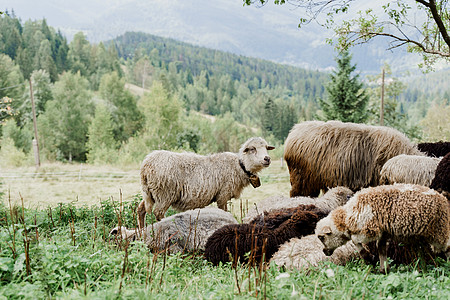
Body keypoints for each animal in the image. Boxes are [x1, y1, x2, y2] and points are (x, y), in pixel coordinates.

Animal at [137, 137, 274, 227]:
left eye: (266, 148)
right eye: (252, 149)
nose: (267, 158)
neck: (240, 166)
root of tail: (146, 165)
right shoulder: (223, 194)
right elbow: (224, 212)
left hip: (150, 193)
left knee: (141, 209)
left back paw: (142, 231)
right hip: (165, 194)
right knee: (158, 213)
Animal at [314, 184, 448, 274]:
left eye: (321, 237)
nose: (324, 252)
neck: (347, 217)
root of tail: (443, 199)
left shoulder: (369, 230)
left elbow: (355, 240)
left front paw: (369, 258)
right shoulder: (383, 232)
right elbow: (381, 248)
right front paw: (384, 269)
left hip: (440, 230)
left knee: (447, 247)